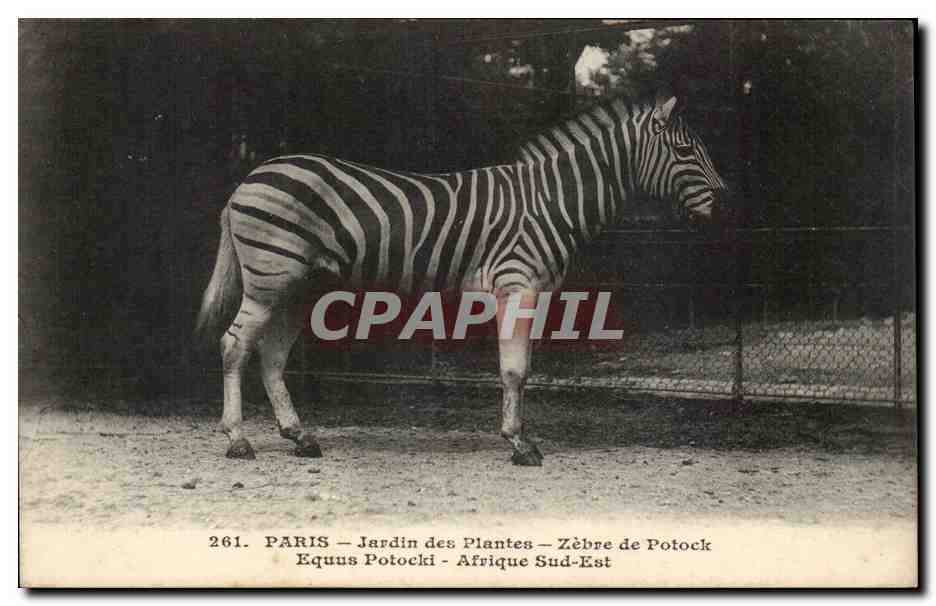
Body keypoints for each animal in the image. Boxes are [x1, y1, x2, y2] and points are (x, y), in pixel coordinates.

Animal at [196, 91, 727, 466]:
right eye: (685, 151)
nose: (725, 204)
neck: (552, 201)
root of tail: (249, 178)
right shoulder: (518, 284)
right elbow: (515, 370)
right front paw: (519, 445)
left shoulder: (529, 291)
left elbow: (520, 369)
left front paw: (517, 438)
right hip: (271, 276)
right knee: (234, 345)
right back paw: (238, 440)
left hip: (299, 285)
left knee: (270, 354)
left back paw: (299, 436)